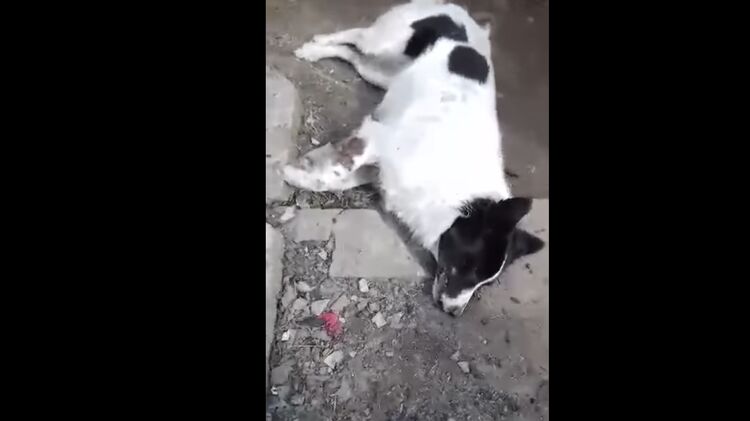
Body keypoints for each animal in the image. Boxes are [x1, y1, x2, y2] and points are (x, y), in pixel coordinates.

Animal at [283, 0, 545, 316]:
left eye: (484, 282)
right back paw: (315, 46)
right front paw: (292, 175)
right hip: (383, 42)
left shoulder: (381, 173)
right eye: (470, 266)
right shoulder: (377, 138)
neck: (454, 189)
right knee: (355, 35)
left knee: (354, 57)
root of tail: (460, 11)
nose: (454, 313)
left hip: (382, 73)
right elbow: (338, 170)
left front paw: (302, 175)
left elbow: (338, 179)